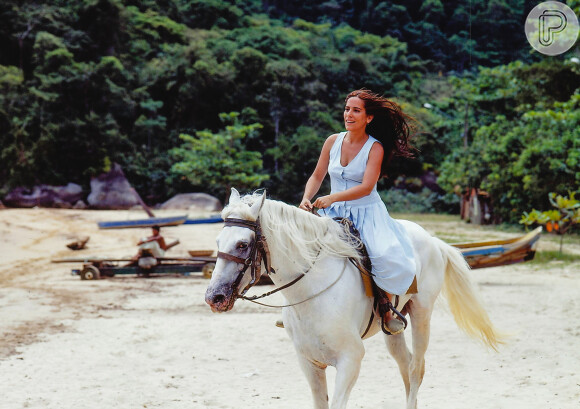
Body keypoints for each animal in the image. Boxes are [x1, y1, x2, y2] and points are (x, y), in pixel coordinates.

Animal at [205, 189, 502, 408]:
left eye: (243, 244)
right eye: (218, 241)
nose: (214, 297)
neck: (310, 294)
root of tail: (431, 239)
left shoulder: (350, 361)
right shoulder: (309, 363)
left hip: (422, 314)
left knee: (417, 369)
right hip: (393, 329)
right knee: (405, 365)